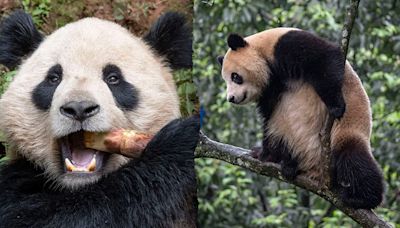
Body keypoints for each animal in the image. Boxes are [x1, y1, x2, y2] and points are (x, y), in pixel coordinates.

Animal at [0, 10, 199, 226]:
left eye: (113, 78)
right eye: (53, 78)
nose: (79, 108)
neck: (80, 185)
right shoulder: (18, 179)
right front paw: (179, 143)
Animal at [219, 27, 384, 209]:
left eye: (235, 77)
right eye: (226, 80)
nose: (231, 98)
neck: (264, 52)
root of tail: (317, 171)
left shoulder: (286, 46)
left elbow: (325, 59)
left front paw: (336, 106)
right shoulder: (270, 89)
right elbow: (268, 118)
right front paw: (263, 153)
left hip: (344, 132)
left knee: (354, 160)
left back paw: (361, 198)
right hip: (289, 137)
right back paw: (286, 163)